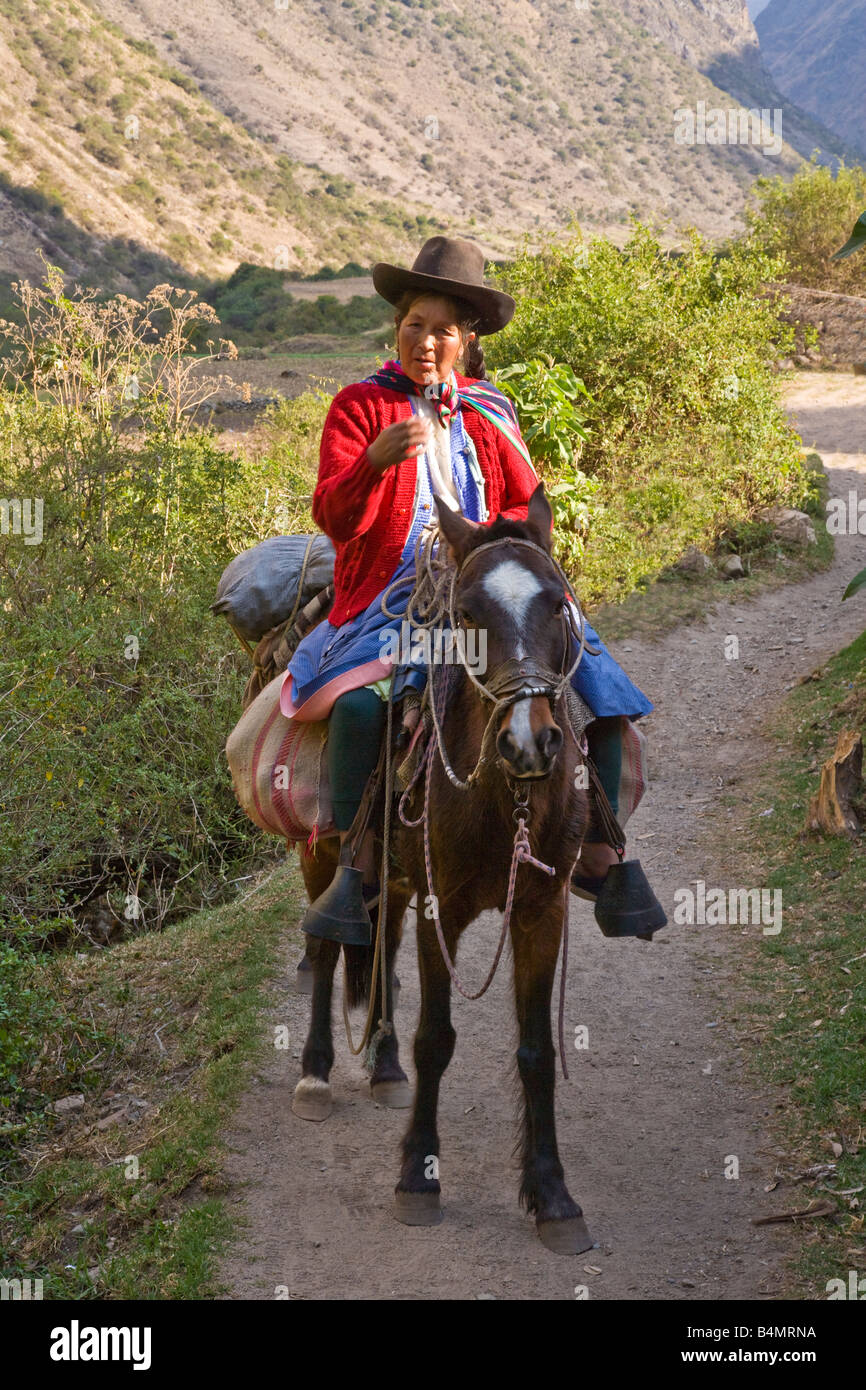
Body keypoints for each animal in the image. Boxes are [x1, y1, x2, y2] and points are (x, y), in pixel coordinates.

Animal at [294, 489, 592, 1262]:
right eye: (468, 613)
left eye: (557, 602)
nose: (528, 740)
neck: (501, 798)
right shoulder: (440, 907)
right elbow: (436, 1039)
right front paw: (418, 1178)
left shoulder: (541, 910)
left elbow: (536, 1050)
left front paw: (552, 1196)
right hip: (322, 855)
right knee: (325, 946)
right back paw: (314, 1072)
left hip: (392, 878)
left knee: (380, 950)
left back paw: (384, 1066)